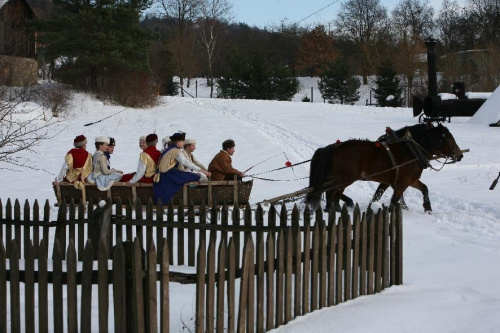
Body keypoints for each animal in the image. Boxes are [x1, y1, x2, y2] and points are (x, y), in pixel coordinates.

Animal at [306, 123, 462, 211]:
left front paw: (427, 208)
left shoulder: (402, 181)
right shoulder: (403, 182)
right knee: (332, 193)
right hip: (345, 179)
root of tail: (335, 148)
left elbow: (424, 189)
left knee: (333, 194)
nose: (460, 155)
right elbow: (395, 199)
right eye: (449, 139)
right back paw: (332, 209)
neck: (412, 150)